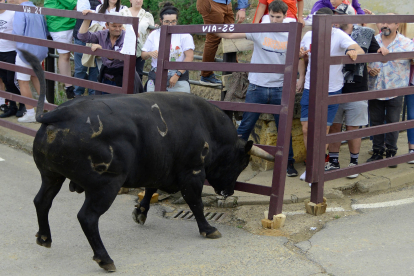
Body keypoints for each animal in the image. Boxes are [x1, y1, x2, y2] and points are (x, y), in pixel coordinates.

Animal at [23, 50, 274, 270]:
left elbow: (151, 188)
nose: (228, 192)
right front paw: (208, 228)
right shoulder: (192, 172)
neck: (207, 126)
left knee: (41, 201)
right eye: (242, 163)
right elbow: (196, 202)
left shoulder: (158, 167)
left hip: (51, 176)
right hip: (105, 186)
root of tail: (58, 112)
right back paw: (105, 259)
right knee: (87, 217)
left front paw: (141, 212)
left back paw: (44, 237)